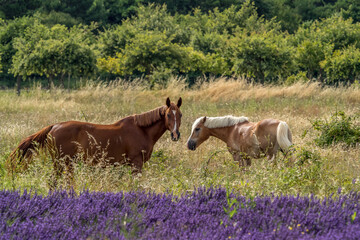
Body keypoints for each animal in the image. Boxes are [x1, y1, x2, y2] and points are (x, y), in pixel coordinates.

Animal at [8, 97, 183, 174]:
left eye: (180, 114)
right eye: (168, 115)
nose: (175, 135)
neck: (141, 130)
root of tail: (54, 126)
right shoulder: (136, 164)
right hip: (61, 163)